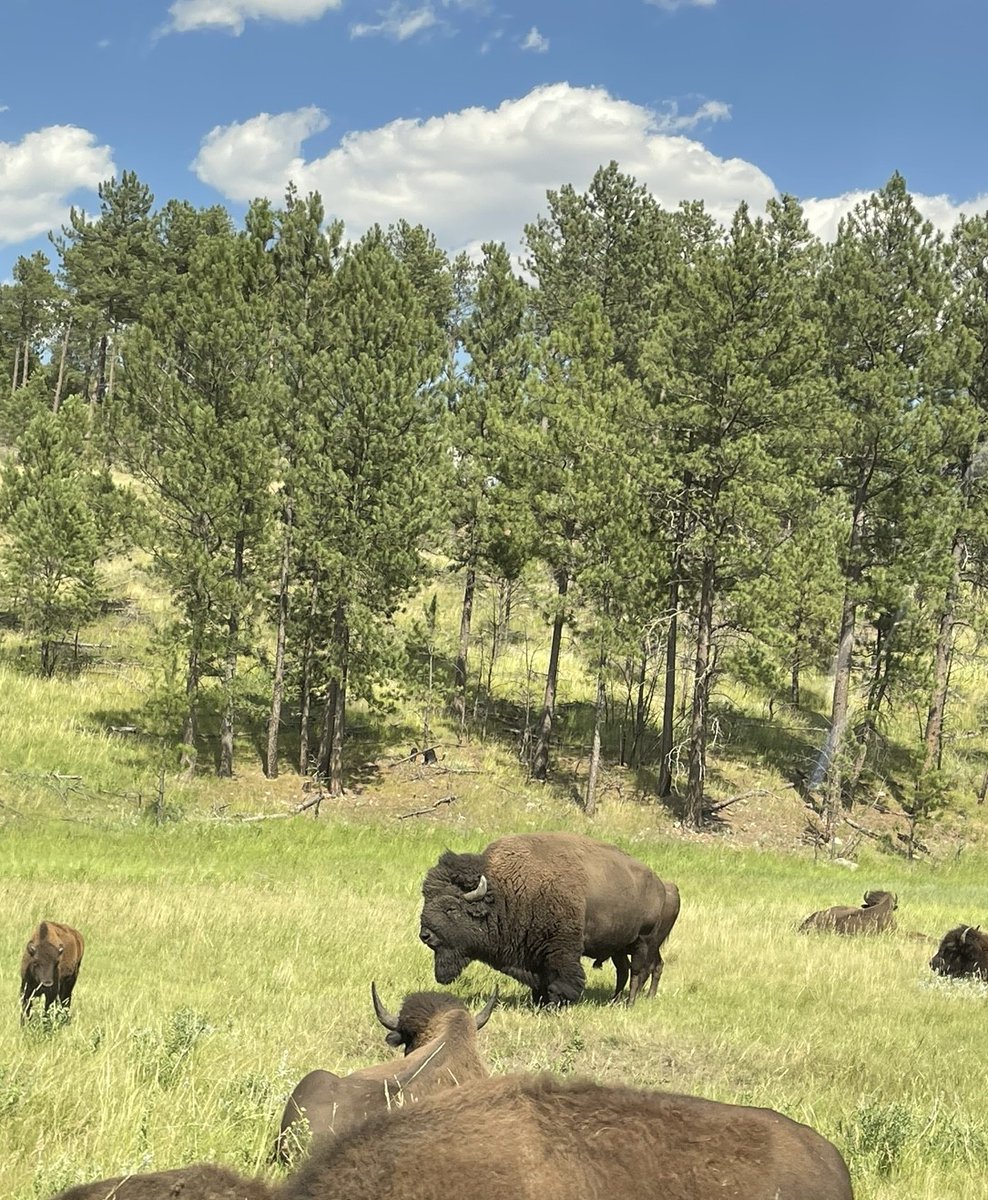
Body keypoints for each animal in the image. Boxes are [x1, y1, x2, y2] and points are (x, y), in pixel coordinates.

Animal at [419, 831, 674, 1007]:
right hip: (618, 947)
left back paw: (629, 1003)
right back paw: (614, 1000)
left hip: (644, 941)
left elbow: (562, 979)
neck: (507, 891)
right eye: (426, 898)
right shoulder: (533, 954)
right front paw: (538, 1001)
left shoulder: (561, 950)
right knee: (624, 970)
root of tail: (659, 884)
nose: (425, 935)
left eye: (451, 907)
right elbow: (541, 980)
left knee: (638, 972)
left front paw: (555, 1004)